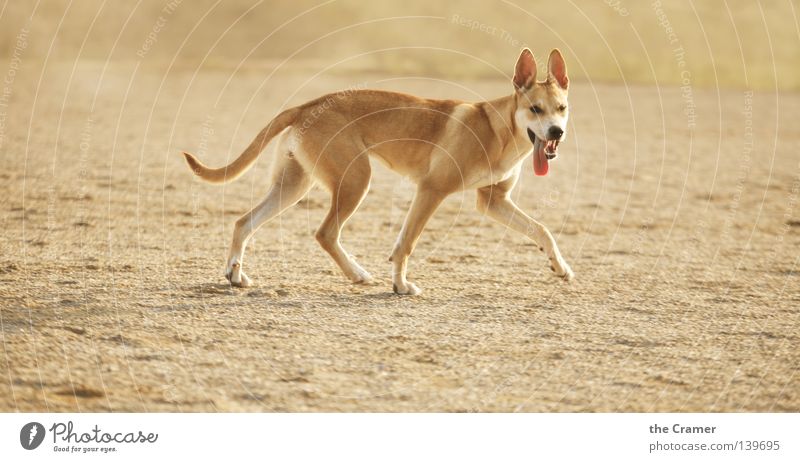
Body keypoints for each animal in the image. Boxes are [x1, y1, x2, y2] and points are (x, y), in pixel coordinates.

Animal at [184, 48, 576, 294]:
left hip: (294, 184)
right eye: (535, 109)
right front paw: (401, 286)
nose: (557, 132)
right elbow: (406, 243)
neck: (501, 130)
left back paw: (236, 275)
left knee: (243, 222)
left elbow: (542, 231)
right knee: (325, 233)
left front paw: (560, 268)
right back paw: (357, 275)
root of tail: (308, 104)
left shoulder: (493, 201)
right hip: (355, 179)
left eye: (561, 108)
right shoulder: (432, 190)